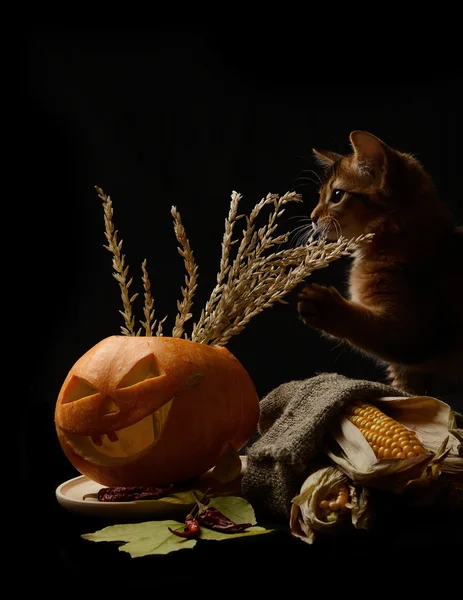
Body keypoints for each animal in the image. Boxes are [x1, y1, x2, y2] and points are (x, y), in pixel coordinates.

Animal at [298, 130, 463, 398]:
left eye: (336, 196)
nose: (312, 217)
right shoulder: (412, 373)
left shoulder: (413, 334)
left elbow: (366, 325)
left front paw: (326, 305)